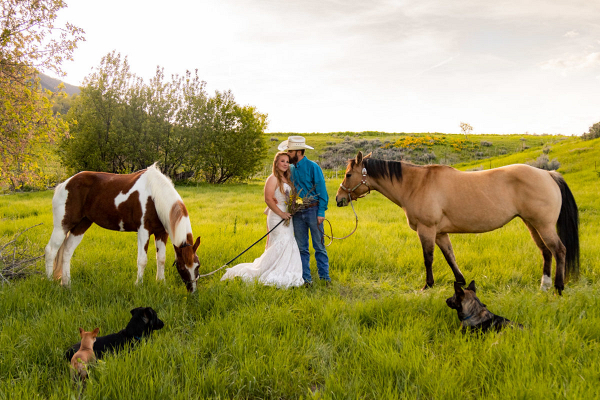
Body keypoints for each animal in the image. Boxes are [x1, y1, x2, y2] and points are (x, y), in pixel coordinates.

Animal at [44, 164, 203, 292]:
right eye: (181, 267)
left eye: (197, 266)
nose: (193, 291)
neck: (155, 194)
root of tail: (64, 184)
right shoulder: (143, 231)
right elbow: (142, 260)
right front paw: (138, 285)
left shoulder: (161, 232)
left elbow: (161, 259)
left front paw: (161, 283)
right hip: (62, 226)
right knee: (51, 250)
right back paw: (50, 282)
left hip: (81, 226)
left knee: (67, 252)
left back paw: (67, 284)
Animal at [336, 151, 580, 294]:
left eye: (348, 175)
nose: (339, 199)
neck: (417, 183)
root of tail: (548, 174)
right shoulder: (440, 233)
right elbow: (450, 256)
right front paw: (460, 281)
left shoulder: (427, 230)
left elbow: (428, 258)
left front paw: (428, 285)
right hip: (532, 224)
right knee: (546, 252)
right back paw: (544, 285)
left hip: (543, 225)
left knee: (559, 250)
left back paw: (558, 288)